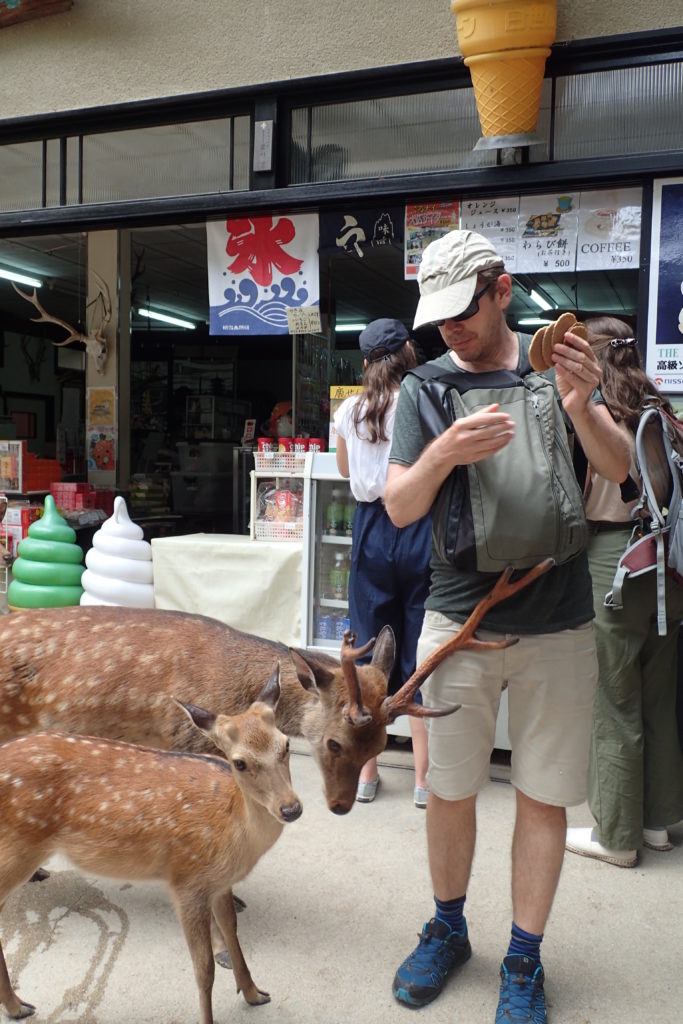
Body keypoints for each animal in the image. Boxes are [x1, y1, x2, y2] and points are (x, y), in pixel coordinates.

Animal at [0, 663, 301, 1024]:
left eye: (286, 744)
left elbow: (232, 930)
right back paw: (18, 1006)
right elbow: (204, 970)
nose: (291, 808)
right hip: (16, 850)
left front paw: (254, 993)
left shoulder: (219, 882)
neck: (233, 828)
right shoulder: (187, 881)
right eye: (239, 762)